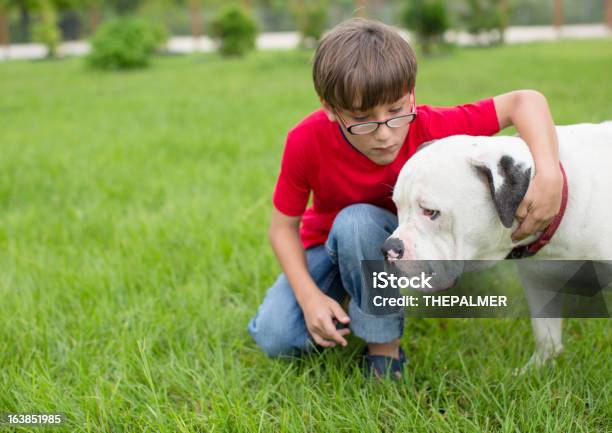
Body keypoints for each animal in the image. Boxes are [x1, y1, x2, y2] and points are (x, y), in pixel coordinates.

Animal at [382, 122, 612, 372]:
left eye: (430, 211)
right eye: (397, 206)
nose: (388, 248)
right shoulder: (538, 282)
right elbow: (545, 333)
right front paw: (534, 370)